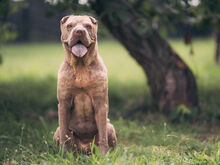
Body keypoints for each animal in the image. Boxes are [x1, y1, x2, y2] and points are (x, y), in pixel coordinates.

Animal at [53, 14, 117, 154]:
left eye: (88, 26)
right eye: (70, 26)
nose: (79, 31)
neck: (81, 66)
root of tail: (84, 149)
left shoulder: (100, 103)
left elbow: (103, 136)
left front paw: (103, 156)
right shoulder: (64, 103)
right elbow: (64, 135)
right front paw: (63, 155)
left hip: (110, 127)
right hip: (57, 130)